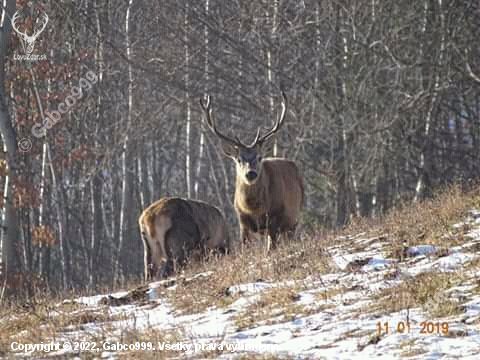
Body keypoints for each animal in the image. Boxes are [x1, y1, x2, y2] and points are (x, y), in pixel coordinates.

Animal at [200, 92, 304, 250]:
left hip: (293, 219)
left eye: (259, 157)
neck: (254, 209)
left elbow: (271, 249)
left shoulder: (275, 219)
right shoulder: (242, 220)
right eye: (239, 159)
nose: (251, 173)